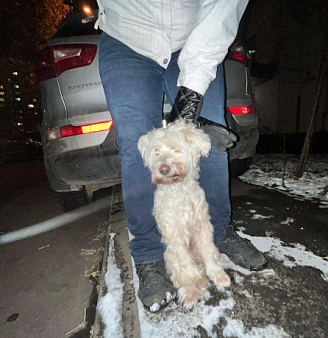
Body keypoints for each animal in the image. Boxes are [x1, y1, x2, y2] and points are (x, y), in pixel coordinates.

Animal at [138, 119, 231, 308]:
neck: (178, 191)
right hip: (169, 254)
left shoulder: (203, 226)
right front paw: (193, 287)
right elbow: (185, 264)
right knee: (180, 269)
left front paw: (217, 275)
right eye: (156, 151)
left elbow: (208, 251)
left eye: (176, 148)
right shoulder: (175, 235)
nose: (164, 169)